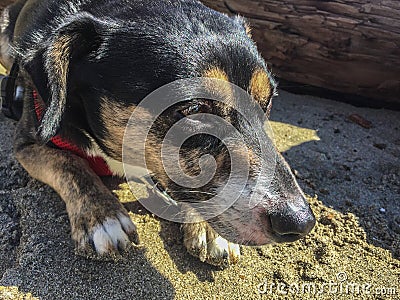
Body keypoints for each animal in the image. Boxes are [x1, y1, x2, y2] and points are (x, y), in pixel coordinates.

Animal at [0, 0, 316, 268]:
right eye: (194, 109)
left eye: (268, 102)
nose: (300, 223)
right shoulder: (28, 144)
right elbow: (70, 163)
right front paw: (103, 217)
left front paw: (207, 228)